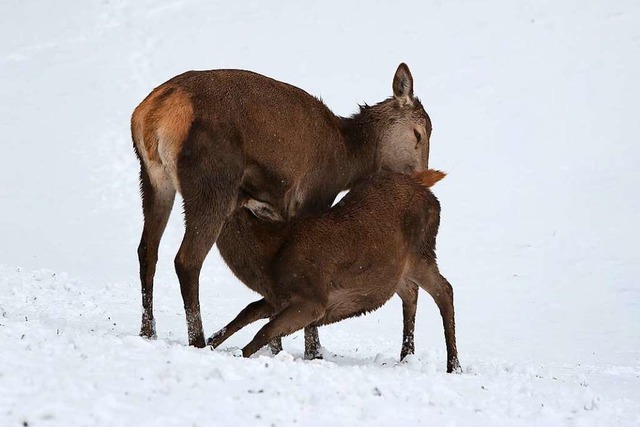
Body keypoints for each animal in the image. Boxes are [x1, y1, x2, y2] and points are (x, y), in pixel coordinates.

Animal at [132, 64, 432, 352]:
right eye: (418, 134)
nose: (421, 178)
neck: (347, 162)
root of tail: (153, 113)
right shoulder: (312, 198)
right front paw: (313, 351)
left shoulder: (272, 208)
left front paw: (276, 348)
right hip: (212, 181)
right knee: (187, 259)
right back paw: (197, 341)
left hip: (154, 179)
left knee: (147, 250)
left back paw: (148, 331)